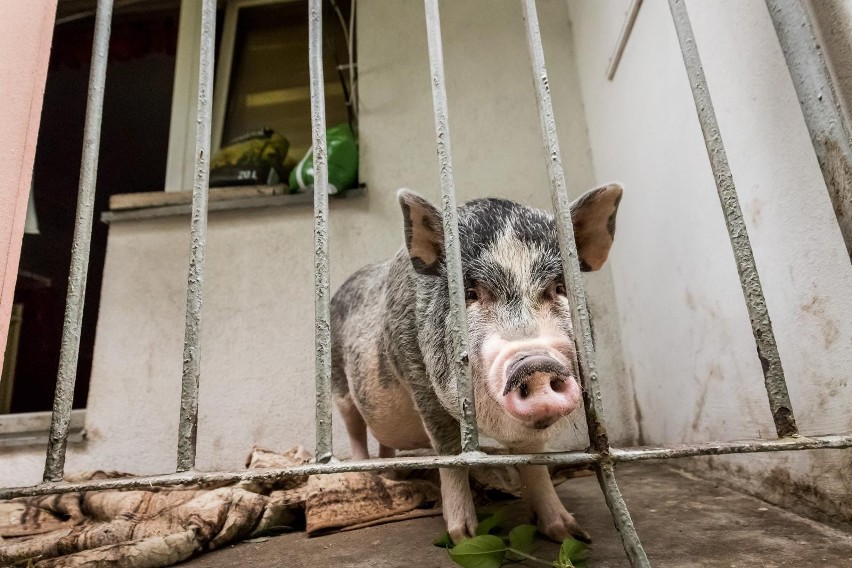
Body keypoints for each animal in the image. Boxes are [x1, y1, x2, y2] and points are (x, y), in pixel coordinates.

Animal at [330, 184, 624, 544]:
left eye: (560, 287)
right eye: (470, 293)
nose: (535, 363)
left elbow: (534, 459)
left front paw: (571, 533)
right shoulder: (418, 378)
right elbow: (449, 451)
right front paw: (463, 537)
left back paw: (392, 475)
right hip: (338, 383)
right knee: (355, 427)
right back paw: (365, 474)